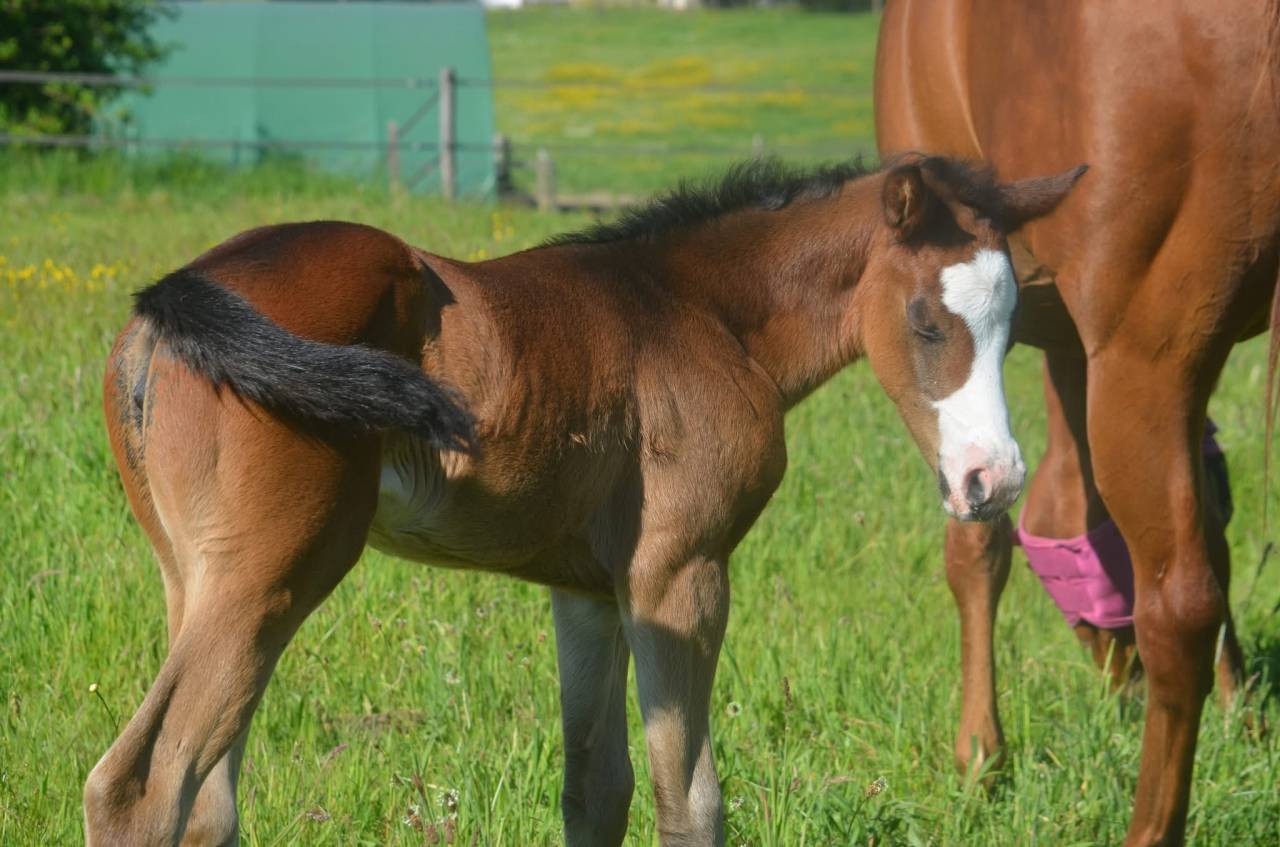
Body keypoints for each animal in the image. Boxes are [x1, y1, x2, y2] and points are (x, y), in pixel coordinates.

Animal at [84, 156, 1081, 846]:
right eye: (925, 320)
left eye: (1011, 326)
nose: (993, 478)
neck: (696, 309)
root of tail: (178, 296)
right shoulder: (678, 576)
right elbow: (692, 800)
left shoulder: (588, 593)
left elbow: (596, 790)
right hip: (274, 574)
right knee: (139, 786)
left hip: (198, 579)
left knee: (206, 796)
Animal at [875, 2, 1280, 844]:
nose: (1117, 675)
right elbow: (1216, 527)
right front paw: (1243, 714)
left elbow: (976, 541)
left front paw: (980, 755)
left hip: (1144, 353)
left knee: (1178, 604)